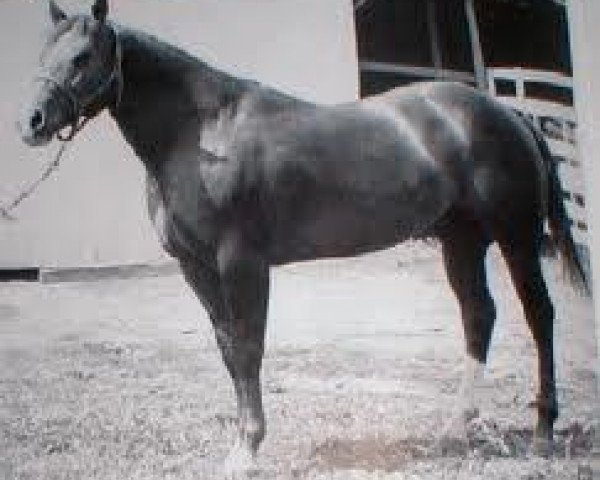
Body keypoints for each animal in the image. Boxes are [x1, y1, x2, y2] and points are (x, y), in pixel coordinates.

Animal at [17, 0, 584, 472]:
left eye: (82, 56)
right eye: (44, 52)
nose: (32, 122)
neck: (202, 134)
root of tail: (509, 113)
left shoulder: (241, 263)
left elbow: (249, 348)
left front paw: (247, 451)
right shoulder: (195, 267)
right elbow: (228, 348)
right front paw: (242, 443)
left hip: (515, 237)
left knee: (539, 316)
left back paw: (543, 430)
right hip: (461, 241)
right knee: (478, 316)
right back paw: (456, 427)